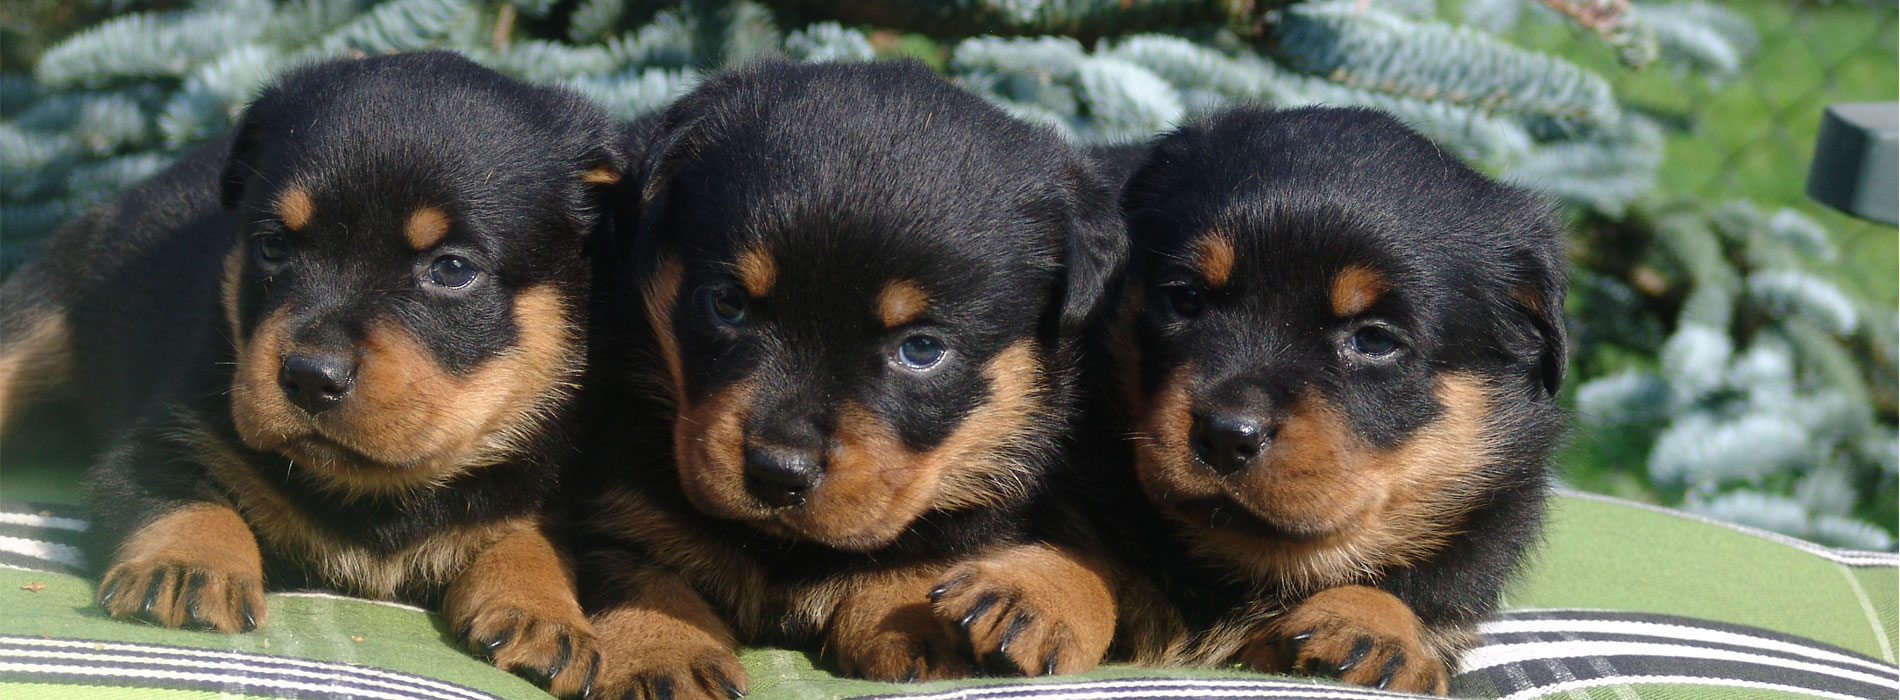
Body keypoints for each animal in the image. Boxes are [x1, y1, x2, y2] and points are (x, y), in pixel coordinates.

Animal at [0, 51, 623, 696]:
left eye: (452, 269)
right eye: (273, 246)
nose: (309, 377)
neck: (376, 494)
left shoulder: (542, 485)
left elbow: (534, 542)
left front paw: (544, 615)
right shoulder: (163, 436)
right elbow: (185, 497)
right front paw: (187, 566)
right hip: (37, 316)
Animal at [570, 61, 1117, 700]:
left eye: (922, 349)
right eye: (727, 304)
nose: (779, 472)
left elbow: (925, 548)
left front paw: (919, 624)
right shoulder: (616, 499)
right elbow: (638, 570)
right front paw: (661, 654)